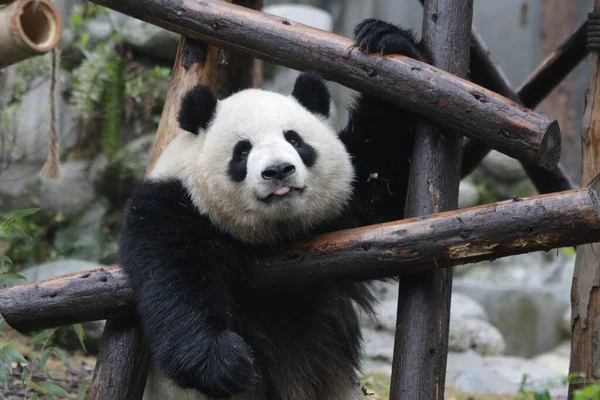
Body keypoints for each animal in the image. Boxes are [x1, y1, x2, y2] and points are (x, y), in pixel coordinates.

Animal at [120, 18, 432, 400]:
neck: (276, 232)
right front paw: (223, 361)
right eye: (242, 151)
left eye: (294, 139)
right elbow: (173, 277)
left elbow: (386, 167)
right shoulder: (173, 206)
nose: (279, 171)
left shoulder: (349, 203)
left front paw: (387, 40)